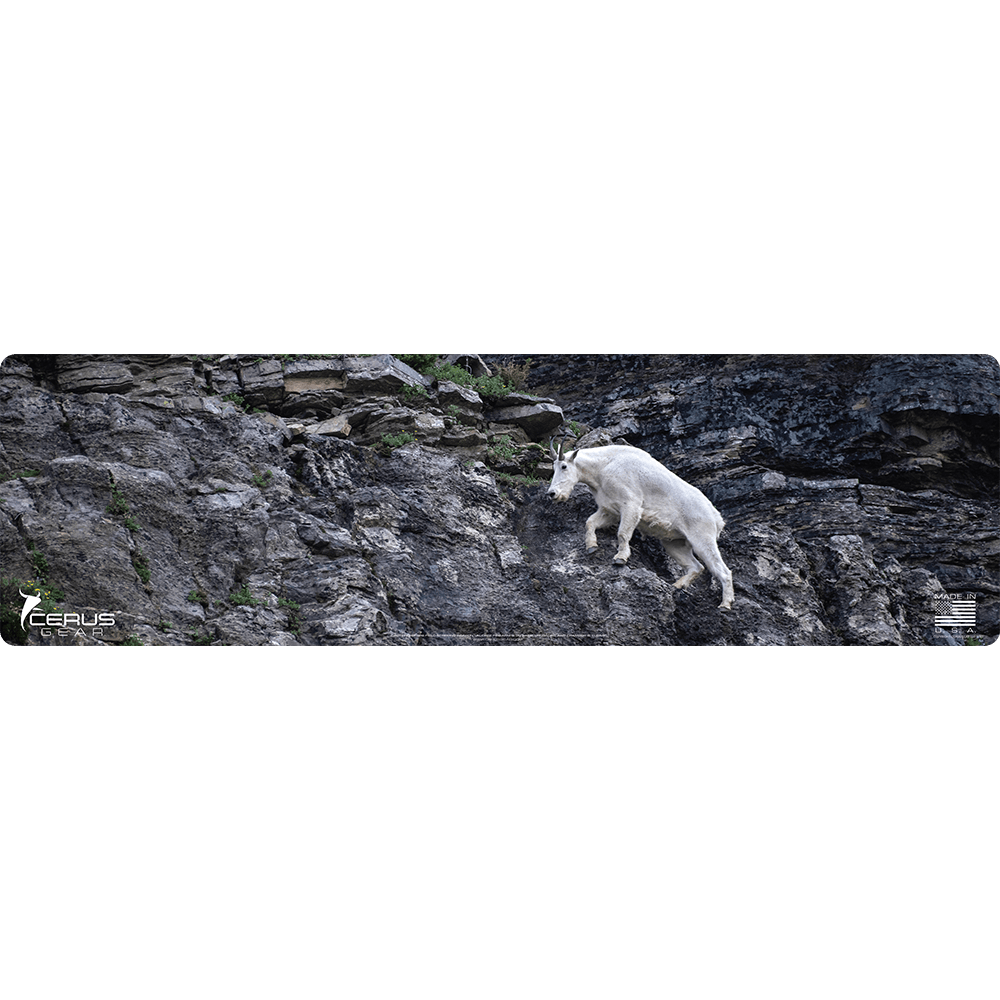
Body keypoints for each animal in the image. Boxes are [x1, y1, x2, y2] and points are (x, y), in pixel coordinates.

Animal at [547, 438, 735, 609]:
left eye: (564, 466)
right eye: (554, 467)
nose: (552, 493)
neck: (602, 466)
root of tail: (716, 518)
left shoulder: (631, 506)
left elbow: (623, 533)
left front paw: (620, 558)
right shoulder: (609, 510)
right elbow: (590, 522)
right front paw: (591, 546)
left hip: (702, 538)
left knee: (722, 570)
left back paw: (725, 604)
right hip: (675, 543)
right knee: (696, 566)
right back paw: (677, 585)